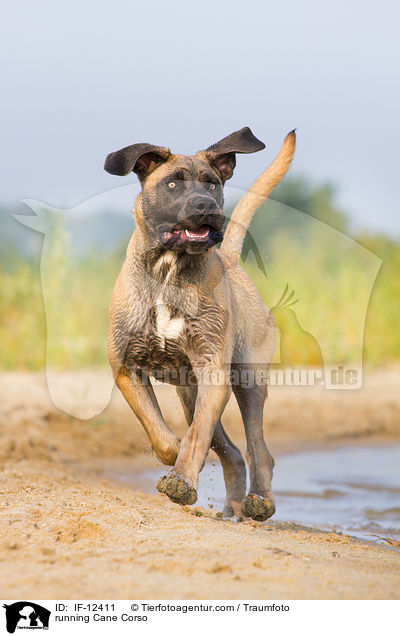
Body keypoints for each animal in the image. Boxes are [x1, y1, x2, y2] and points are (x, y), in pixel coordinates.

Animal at [104, 126, 296, 520]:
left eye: (212, 184)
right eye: (173, 184)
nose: (207, 207)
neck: (168, 271)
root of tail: (232, 261)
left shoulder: (212, 369)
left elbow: (195, 437)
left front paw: (181, 478)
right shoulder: (126, 367)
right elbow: (156, 426)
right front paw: (171, 453)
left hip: (246, 380)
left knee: (257, 448)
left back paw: (260, 499)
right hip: (190, 391)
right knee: (233, 453)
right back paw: (232, 508)